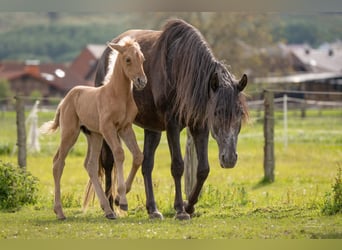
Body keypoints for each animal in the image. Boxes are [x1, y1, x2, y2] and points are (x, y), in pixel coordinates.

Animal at [40, 36, 147, 219]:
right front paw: (122, 201)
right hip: (71, 133)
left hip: (93, 135)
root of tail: (64, 100)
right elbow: (119, 154)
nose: (142, 81)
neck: (118, 95)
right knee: (58, 163)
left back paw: (108, 210)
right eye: (128, 59)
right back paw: (60, 211)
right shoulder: (108, 128)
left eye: (142, 59)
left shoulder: (125, 128)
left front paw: (118, 199)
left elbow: (138, 156)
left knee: (89, 165)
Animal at [87, 19, 247, 219]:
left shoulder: (200, 126)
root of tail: (106, 55)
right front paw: (180, 209)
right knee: (109, 162)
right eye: (217, 112)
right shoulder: (172, 125)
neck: (181, 72)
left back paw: (152, 209)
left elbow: (203, 169)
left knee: (146, 164)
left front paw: (189, 206)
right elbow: (178, 166)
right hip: (110, 127)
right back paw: (110, 205)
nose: (230, 158)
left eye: (239, 113)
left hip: (152, 129)